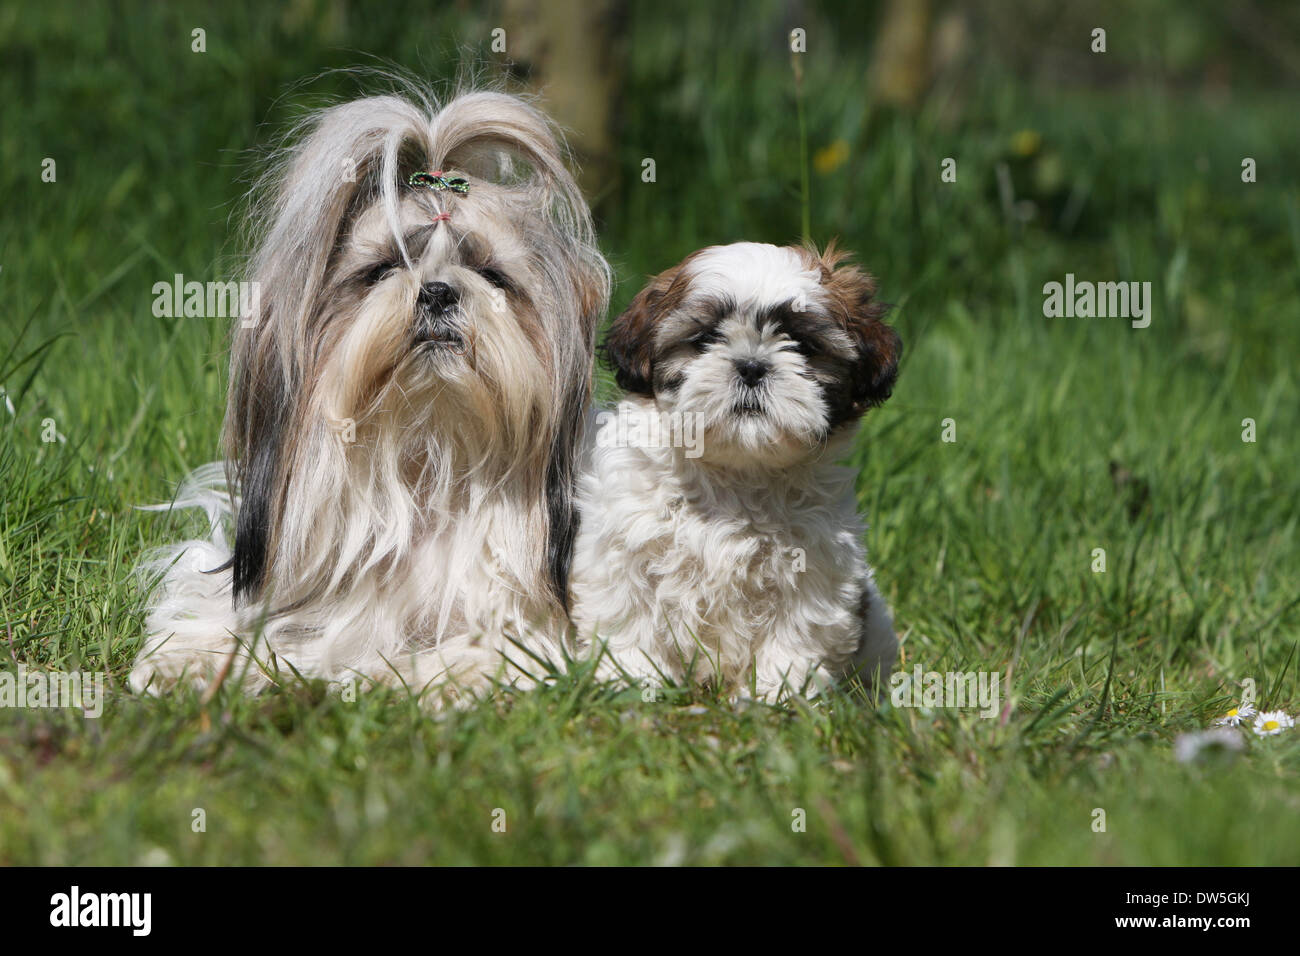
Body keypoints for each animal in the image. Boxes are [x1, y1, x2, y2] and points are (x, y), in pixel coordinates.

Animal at [126, 89, 608, 702]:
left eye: (492, 276)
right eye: (383, 269)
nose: (438, 291)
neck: (425, 457)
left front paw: (395, 675)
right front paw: (186, 659)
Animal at [569, 243, 904, 697]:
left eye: (801, 344)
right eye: (706, 339)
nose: (751, 366)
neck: (737, 472)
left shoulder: (813, 573)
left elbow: (793, 638)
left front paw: (777, 697)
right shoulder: (623, 551)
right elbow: (628, 619)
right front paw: (634, 683)